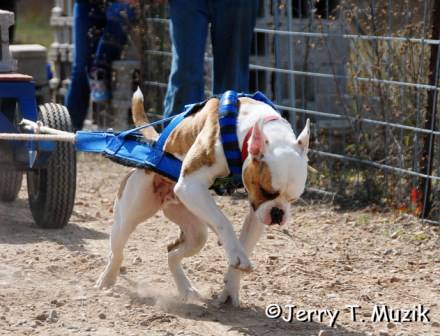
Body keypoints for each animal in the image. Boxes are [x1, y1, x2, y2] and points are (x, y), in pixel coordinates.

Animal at [96, 88, 310, 306]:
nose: (278, 214)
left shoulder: (257, 209)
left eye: (293, 199)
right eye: (266, 191)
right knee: (117, 252)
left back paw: (186, 288)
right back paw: (107, 279)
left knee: (172, 253)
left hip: (195, 230)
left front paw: (231, 286)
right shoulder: (190, 185)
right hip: (129, 216)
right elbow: (223, 221)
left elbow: (244, 244)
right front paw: (234, 252)